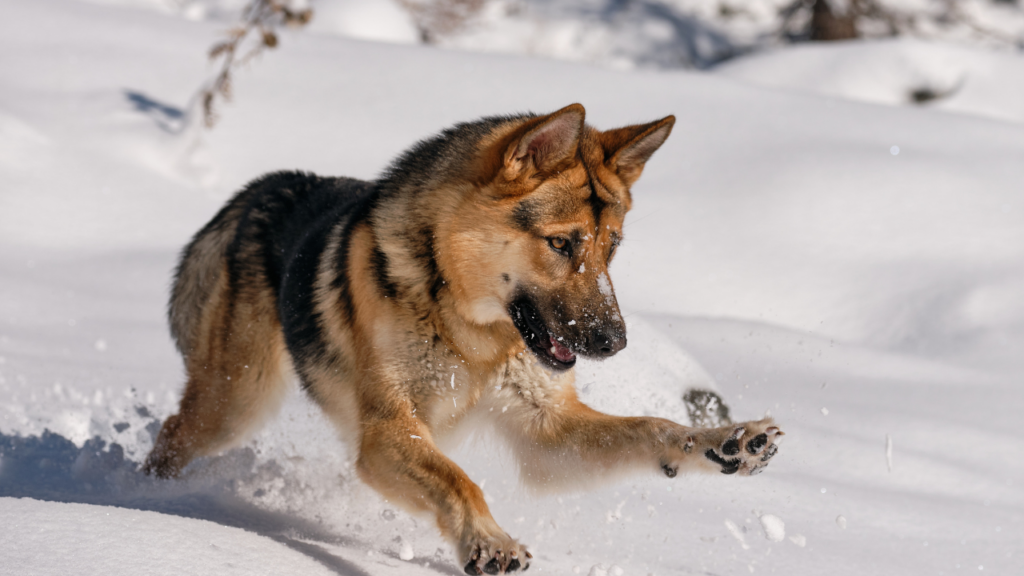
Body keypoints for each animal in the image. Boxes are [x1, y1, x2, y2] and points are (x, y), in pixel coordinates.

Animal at [144, 104, 782, 573]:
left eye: (613, 246)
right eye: (561, 243)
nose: (615, 342)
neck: (470, 331)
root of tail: (263, 187)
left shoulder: (546, 431)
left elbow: (654, 428)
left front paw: (730, 441)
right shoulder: (386, 432)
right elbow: (459, 480)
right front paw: (489, 541)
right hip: (236, 405)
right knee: (170, 436)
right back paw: (151, 503)